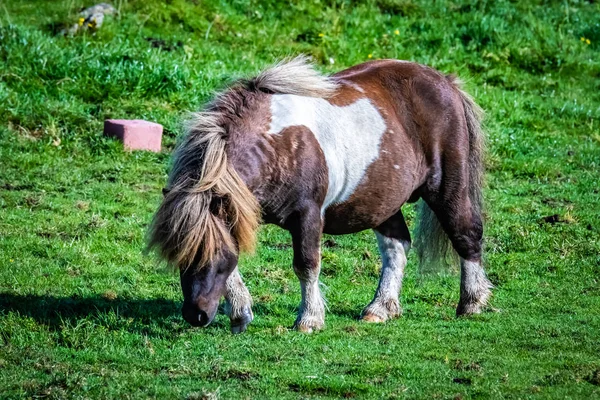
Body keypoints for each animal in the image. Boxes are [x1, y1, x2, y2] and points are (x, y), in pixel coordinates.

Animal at [148, 55, 490, 332]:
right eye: (180, 256)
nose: (196, 316)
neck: (276, 144)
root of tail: (445, 82)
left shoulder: (308, 215)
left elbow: (306, 264)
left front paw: (309, 320)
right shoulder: (241, 211)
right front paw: (241, 313)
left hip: (447, 187)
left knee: (466, 233)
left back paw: (472, 303)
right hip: (383, 201)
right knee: (396, 247)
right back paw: (380, 309)